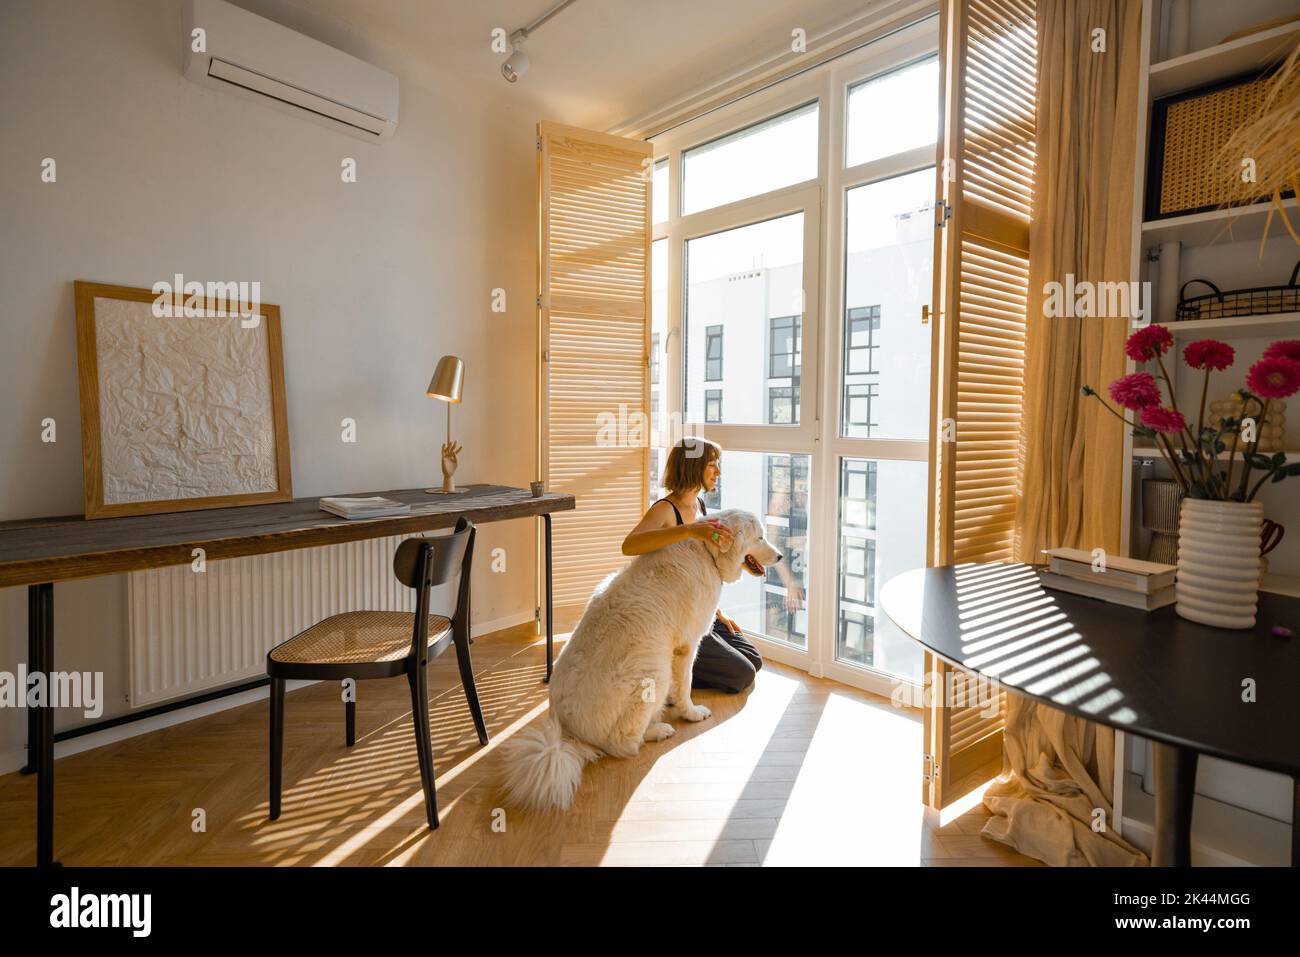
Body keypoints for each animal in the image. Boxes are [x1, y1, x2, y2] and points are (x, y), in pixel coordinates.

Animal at [499, 509, 780, 806]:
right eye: (760, 537)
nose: (781, 557)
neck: (706, 552)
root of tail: (570, 735)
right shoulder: (687, 645)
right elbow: (686, 684)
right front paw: (691, 712)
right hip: (653, 672)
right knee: (623, 744)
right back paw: (658, 730)